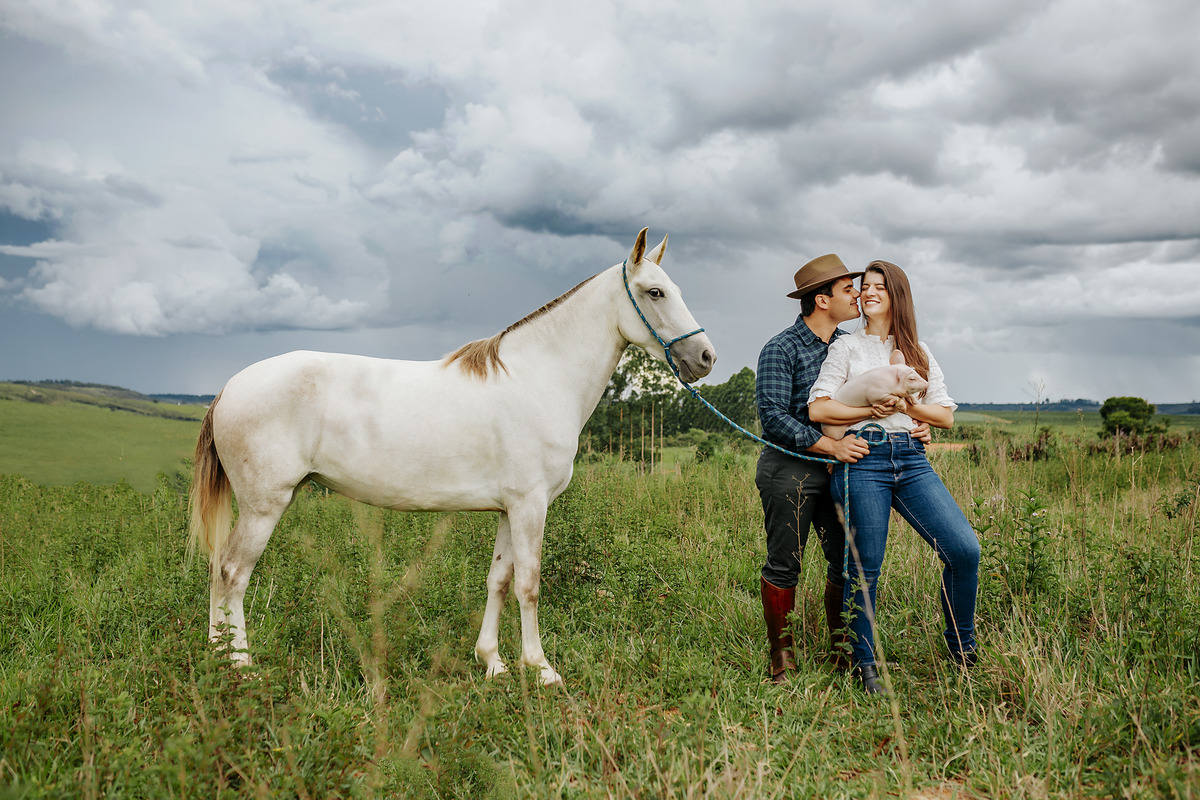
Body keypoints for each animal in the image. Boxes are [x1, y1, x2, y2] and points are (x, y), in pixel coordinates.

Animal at [187, 228, 716, 685]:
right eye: (654, 293)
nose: (706, 358)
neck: (540, 377)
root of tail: (229, 387)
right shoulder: (530, 505)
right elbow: (529, 583)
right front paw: (541, 670)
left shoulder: (509, 508)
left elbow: (499, 580)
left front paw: (493, 663)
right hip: (264, 505)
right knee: (232, 574)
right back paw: (240, 665)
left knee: (218, 572)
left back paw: (217, 656)